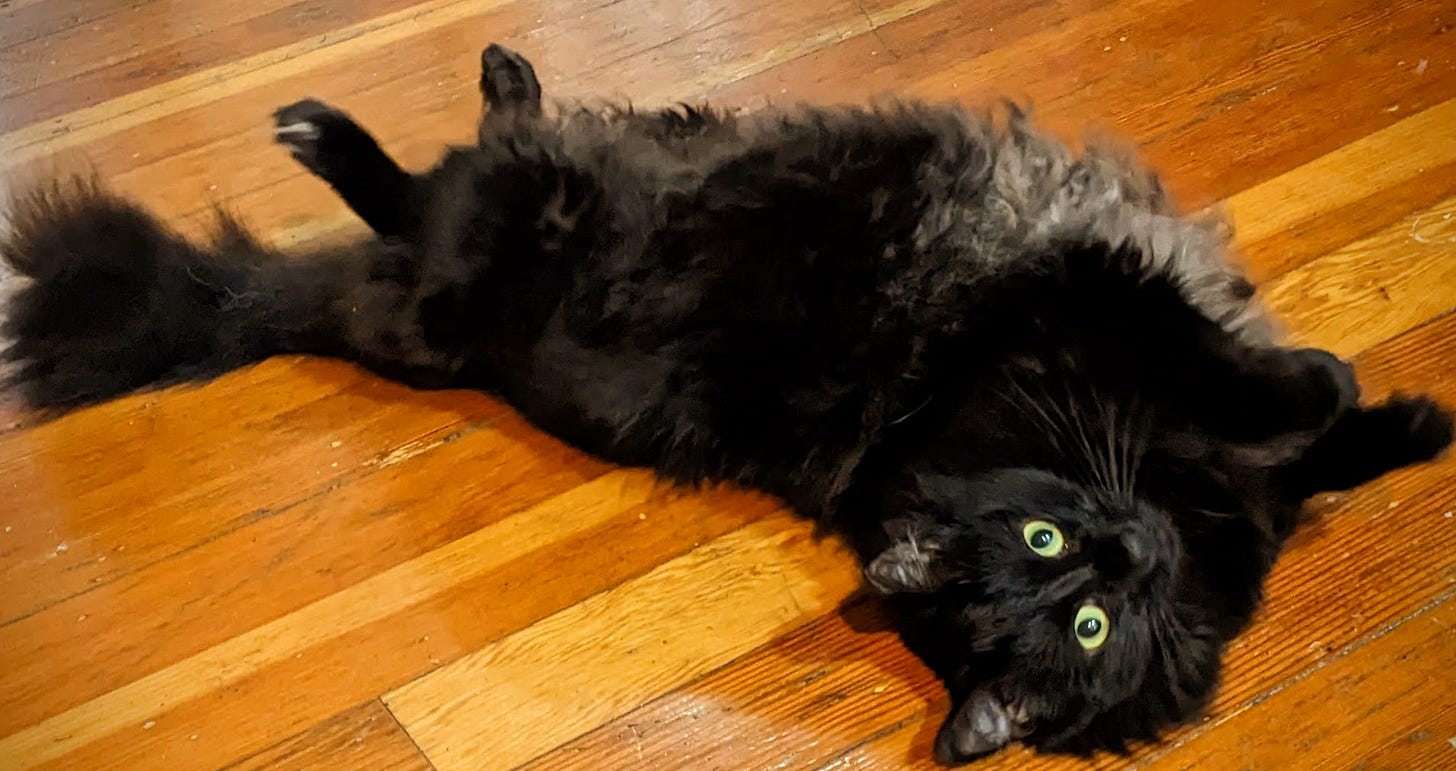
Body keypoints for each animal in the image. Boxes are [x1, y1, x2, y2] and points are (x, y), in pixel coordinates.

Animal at [0, 42, 1450, 762]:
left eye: (1088, 620)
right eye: (1051, 557)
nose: (1128, 553)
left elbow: (1301, 446)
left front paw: (1398, 424)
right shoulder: (1082, 317)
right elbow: (1253, 379)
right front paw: (1367, 395)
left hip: (485, 238)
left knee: (461, 168)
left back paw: (482, 81)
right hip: (484, 243)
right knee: (421, 186)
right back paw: (341, 123)